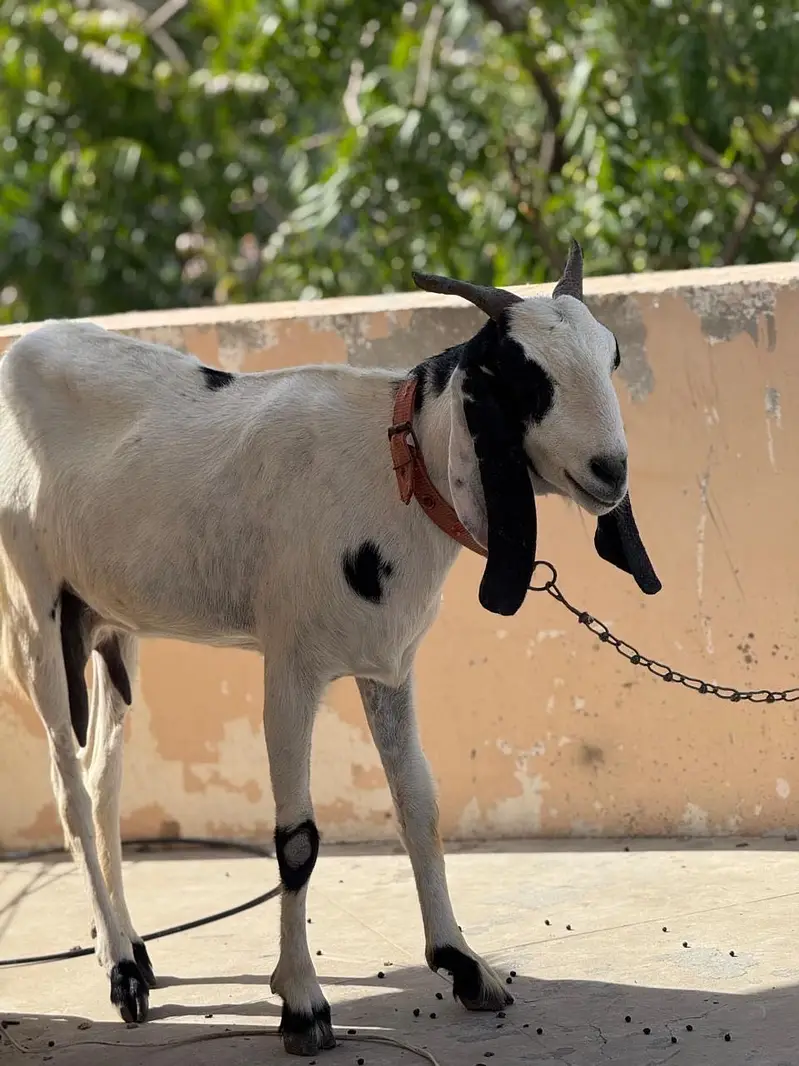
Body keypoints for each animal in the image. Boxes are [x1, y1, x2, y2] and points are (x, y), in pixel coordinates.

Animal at [0, 241, 659, 1055]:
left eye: (612, 355)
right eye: (521, 373)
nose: (610, 472)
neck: (391, 465)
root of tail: (28, 344)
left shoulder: (388, 665)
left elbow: (419, 803)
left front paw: (463, 964)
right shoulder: (290, 666)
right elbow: (298, 841)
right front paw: (303, 1003)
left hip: (108, 624)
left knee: (103, 782)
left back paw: (126, 947)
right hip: (34, 612)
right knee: (67, 787)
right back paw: (121, 969)